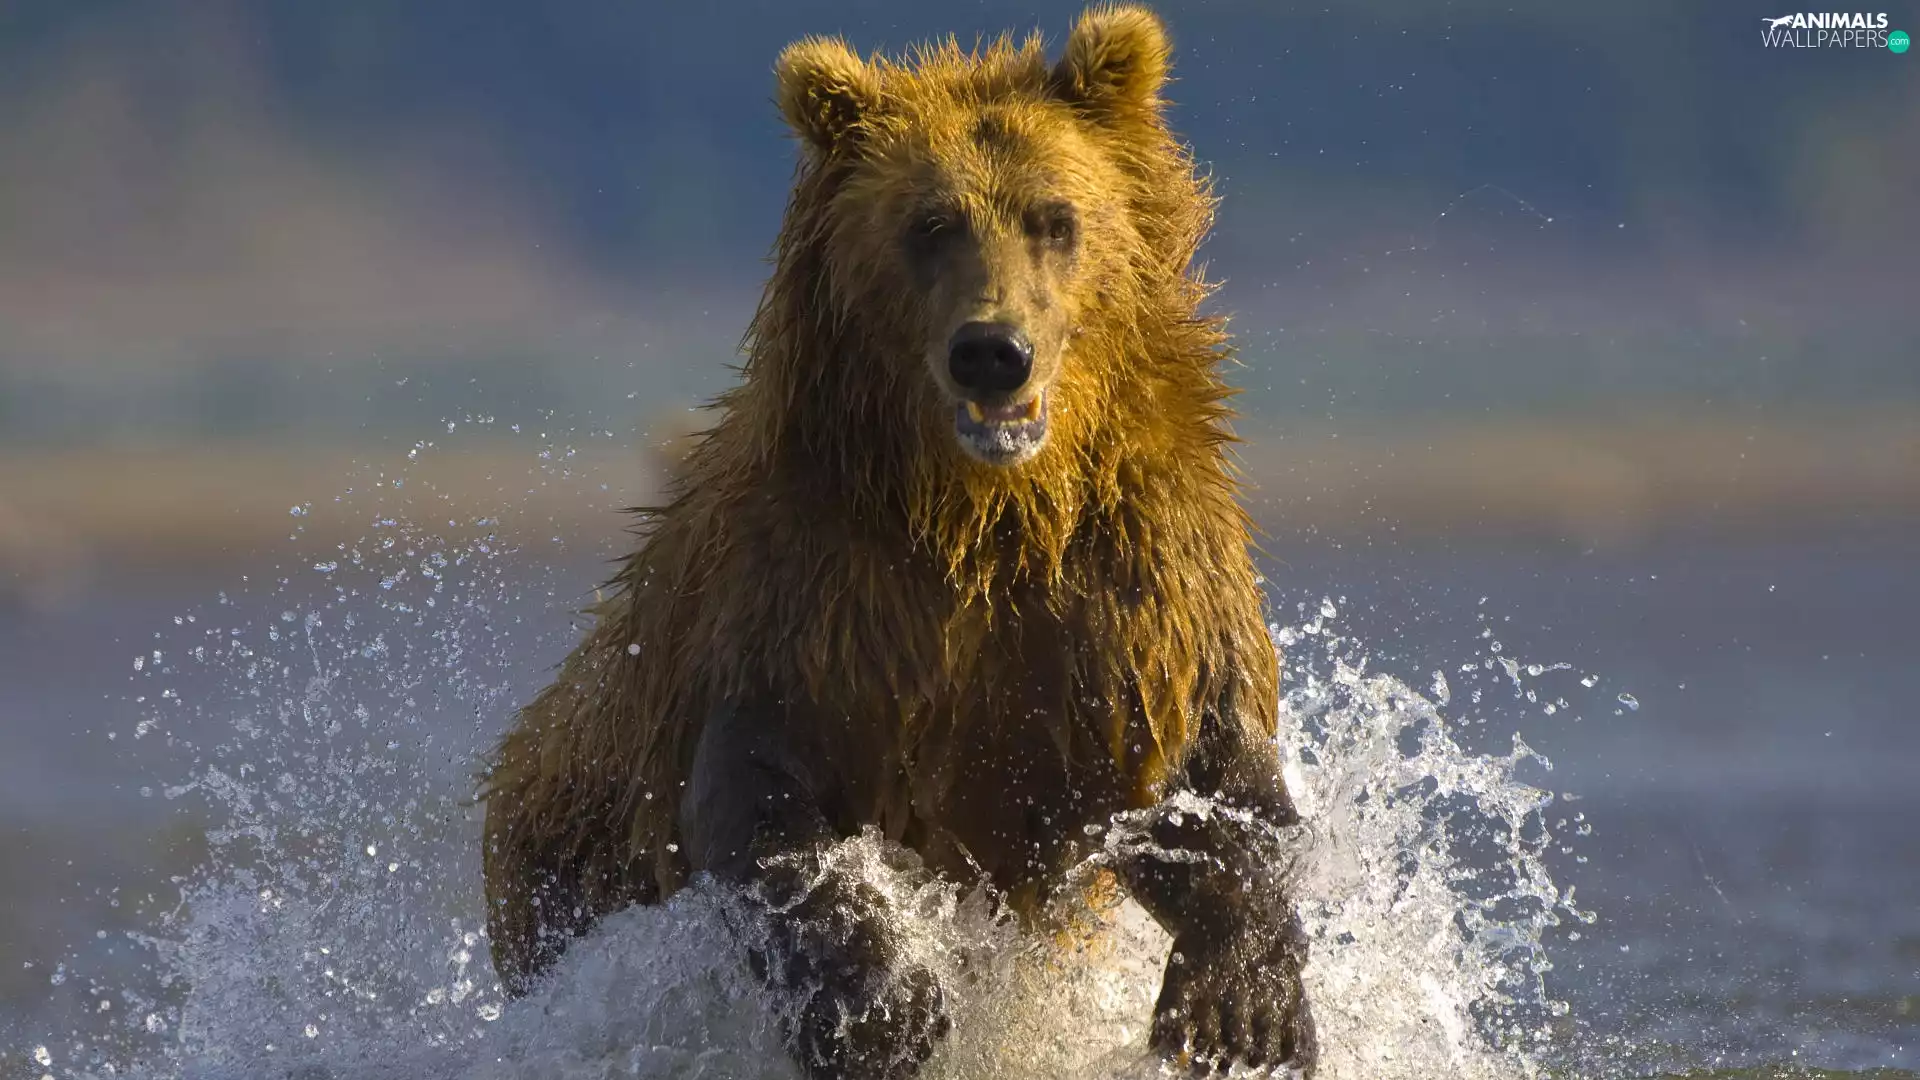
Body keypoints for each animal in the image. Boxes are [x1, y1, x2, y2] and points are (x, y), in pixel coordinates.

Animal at [480, 6, 1318, 1078]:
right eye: (931, 225)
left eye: (1056, 218)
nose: (992, 351)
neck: (987, 513)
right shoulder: (812, 595)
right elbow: (759, 804)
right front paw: (886, 1010)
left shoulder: (1130, 579)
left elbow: (1204, 778)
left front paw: (1241, 1009)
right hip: (564, 856)